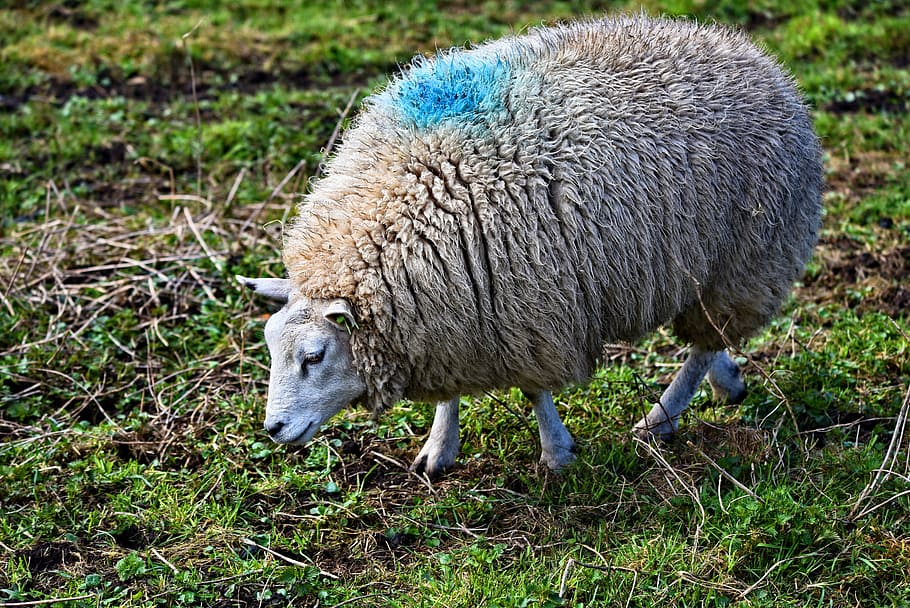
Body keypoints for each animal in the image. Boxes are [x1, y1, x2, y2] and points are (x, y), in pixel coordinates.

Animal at [239, 14, 824, 478]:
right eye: (268, 345)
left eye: (314, 356)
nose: (273, 428)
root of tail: (749, 53)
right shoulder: (452, 314)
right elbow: (452, 393)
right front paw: (439, 447)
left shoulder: (528, 311)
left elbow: (534, 391)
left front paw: (556, 453)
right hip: (712, 268)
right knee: (711, 339)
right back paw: (727, 383)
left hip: (747, 258)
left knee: (702, 344)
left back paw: (661, 418)